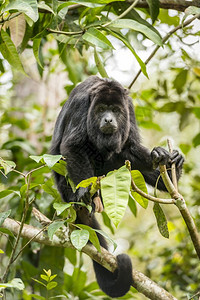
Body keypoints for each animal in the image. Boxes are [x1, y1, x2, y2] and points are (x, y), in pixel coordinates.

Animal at [50, 75, 184, 298]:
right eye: (101, 109)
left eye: (115, 110)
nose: (108, 119)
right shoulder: (80, 104)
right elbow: (73, 145)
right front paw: (84, 192)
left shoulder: (129, 107)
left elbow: (130, 145)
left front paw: (161, 155)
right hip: (65, 186)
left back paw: (170, 172)